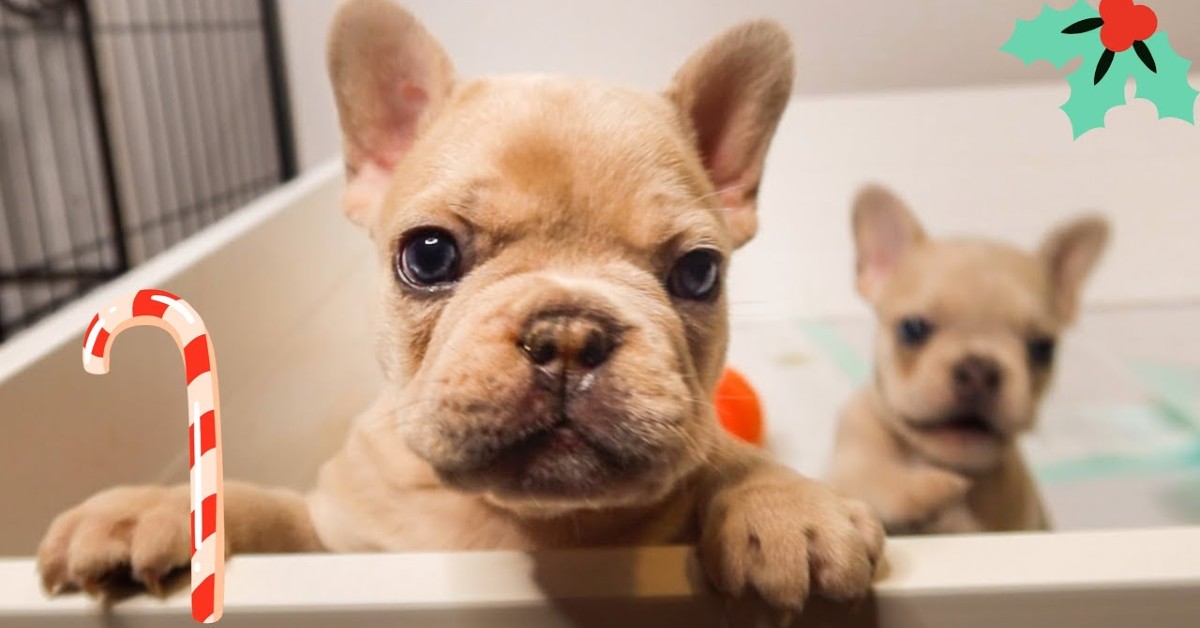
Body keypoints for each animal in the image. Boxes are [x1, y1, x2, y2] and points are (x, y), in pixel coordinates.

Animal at [39, 0, 883, 614]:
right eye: (429, 255)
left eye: (699, 273)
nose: (568, 333)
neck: (509, 522)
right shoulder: (337, 540)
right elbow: (269, 510)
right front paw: (151, 510)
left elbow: (726, 458)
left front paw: (785, 504)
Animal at [830, 182, 1108, 535]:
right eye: (912, 328)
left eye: (1043, 347)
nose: (979, 369)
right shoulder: (851, 455)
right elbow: (868, 481)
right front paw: (922, 490)